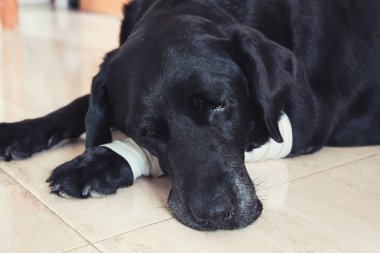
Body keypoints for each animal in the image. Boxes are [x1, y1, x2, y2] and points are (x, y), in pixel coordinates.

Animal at [0, 0, 380, 231]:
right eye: (146, 131)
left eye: (219, 105)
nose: (215, 216)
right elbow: (82, 104)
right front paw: (21, 132)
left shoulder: (300, 119)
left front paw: (98, 163)